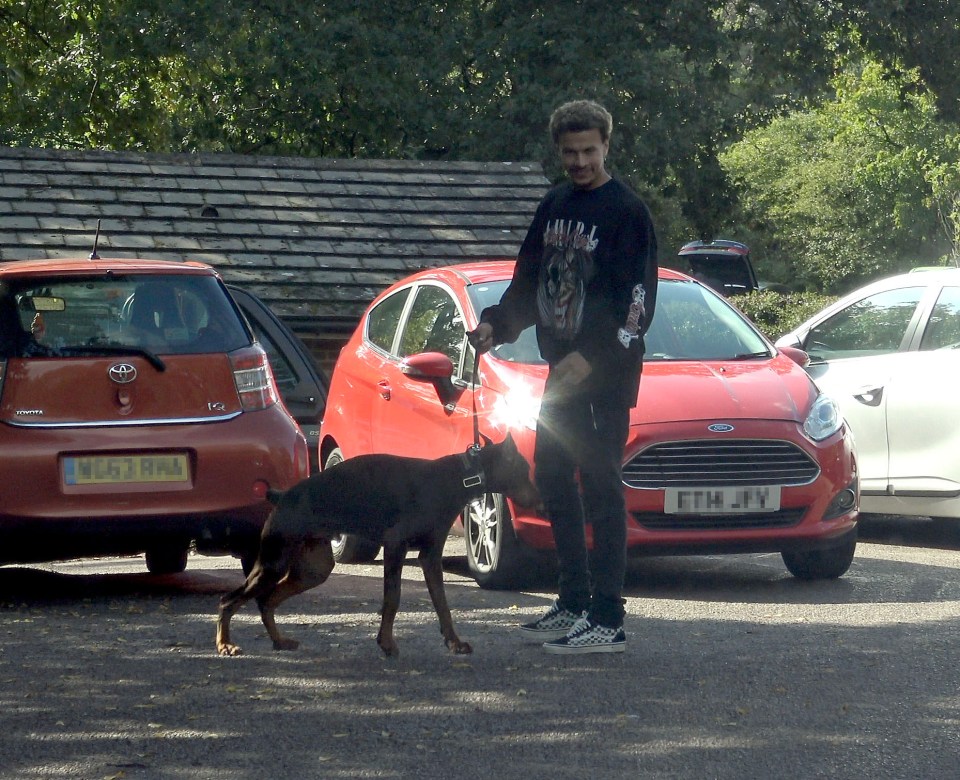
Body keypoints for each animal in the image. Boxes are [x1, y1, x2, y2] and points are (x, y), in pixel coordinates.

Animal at [215, 432, 540, 660]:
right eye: (524, 469)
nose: (540, 501)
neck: (460, 478)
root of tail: (281, 496)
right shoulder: (395, 545)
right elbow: (392, 598)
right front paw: (386, 643)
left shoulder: (430, 555)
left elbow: (442, 603)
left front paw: (454, 642)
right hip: (273, 560)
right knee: (230, 599)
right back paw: (226, 644)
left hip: (313, 568)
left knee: (267, 601)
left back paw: (279, 641)